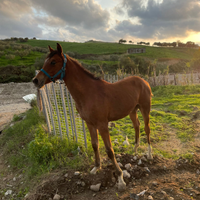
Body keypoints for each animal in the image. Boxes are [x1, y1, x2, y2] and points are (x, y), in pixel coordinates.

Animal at [32, 43, 153, 191]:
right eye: (46, 61)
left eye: (53, 62)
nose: (36, 80)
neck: (88, 93)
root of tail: (143, 81)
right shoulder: (89, 123)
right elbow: (95, 145)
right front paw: (96, 167)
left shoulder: (102, 124)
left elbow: (109, 150)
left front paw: (120, 178)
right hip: (132, 111)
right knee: (137, 126)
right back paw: (135, 149)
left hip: (145, 108)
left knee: (146, 128)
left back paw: (149, 154)